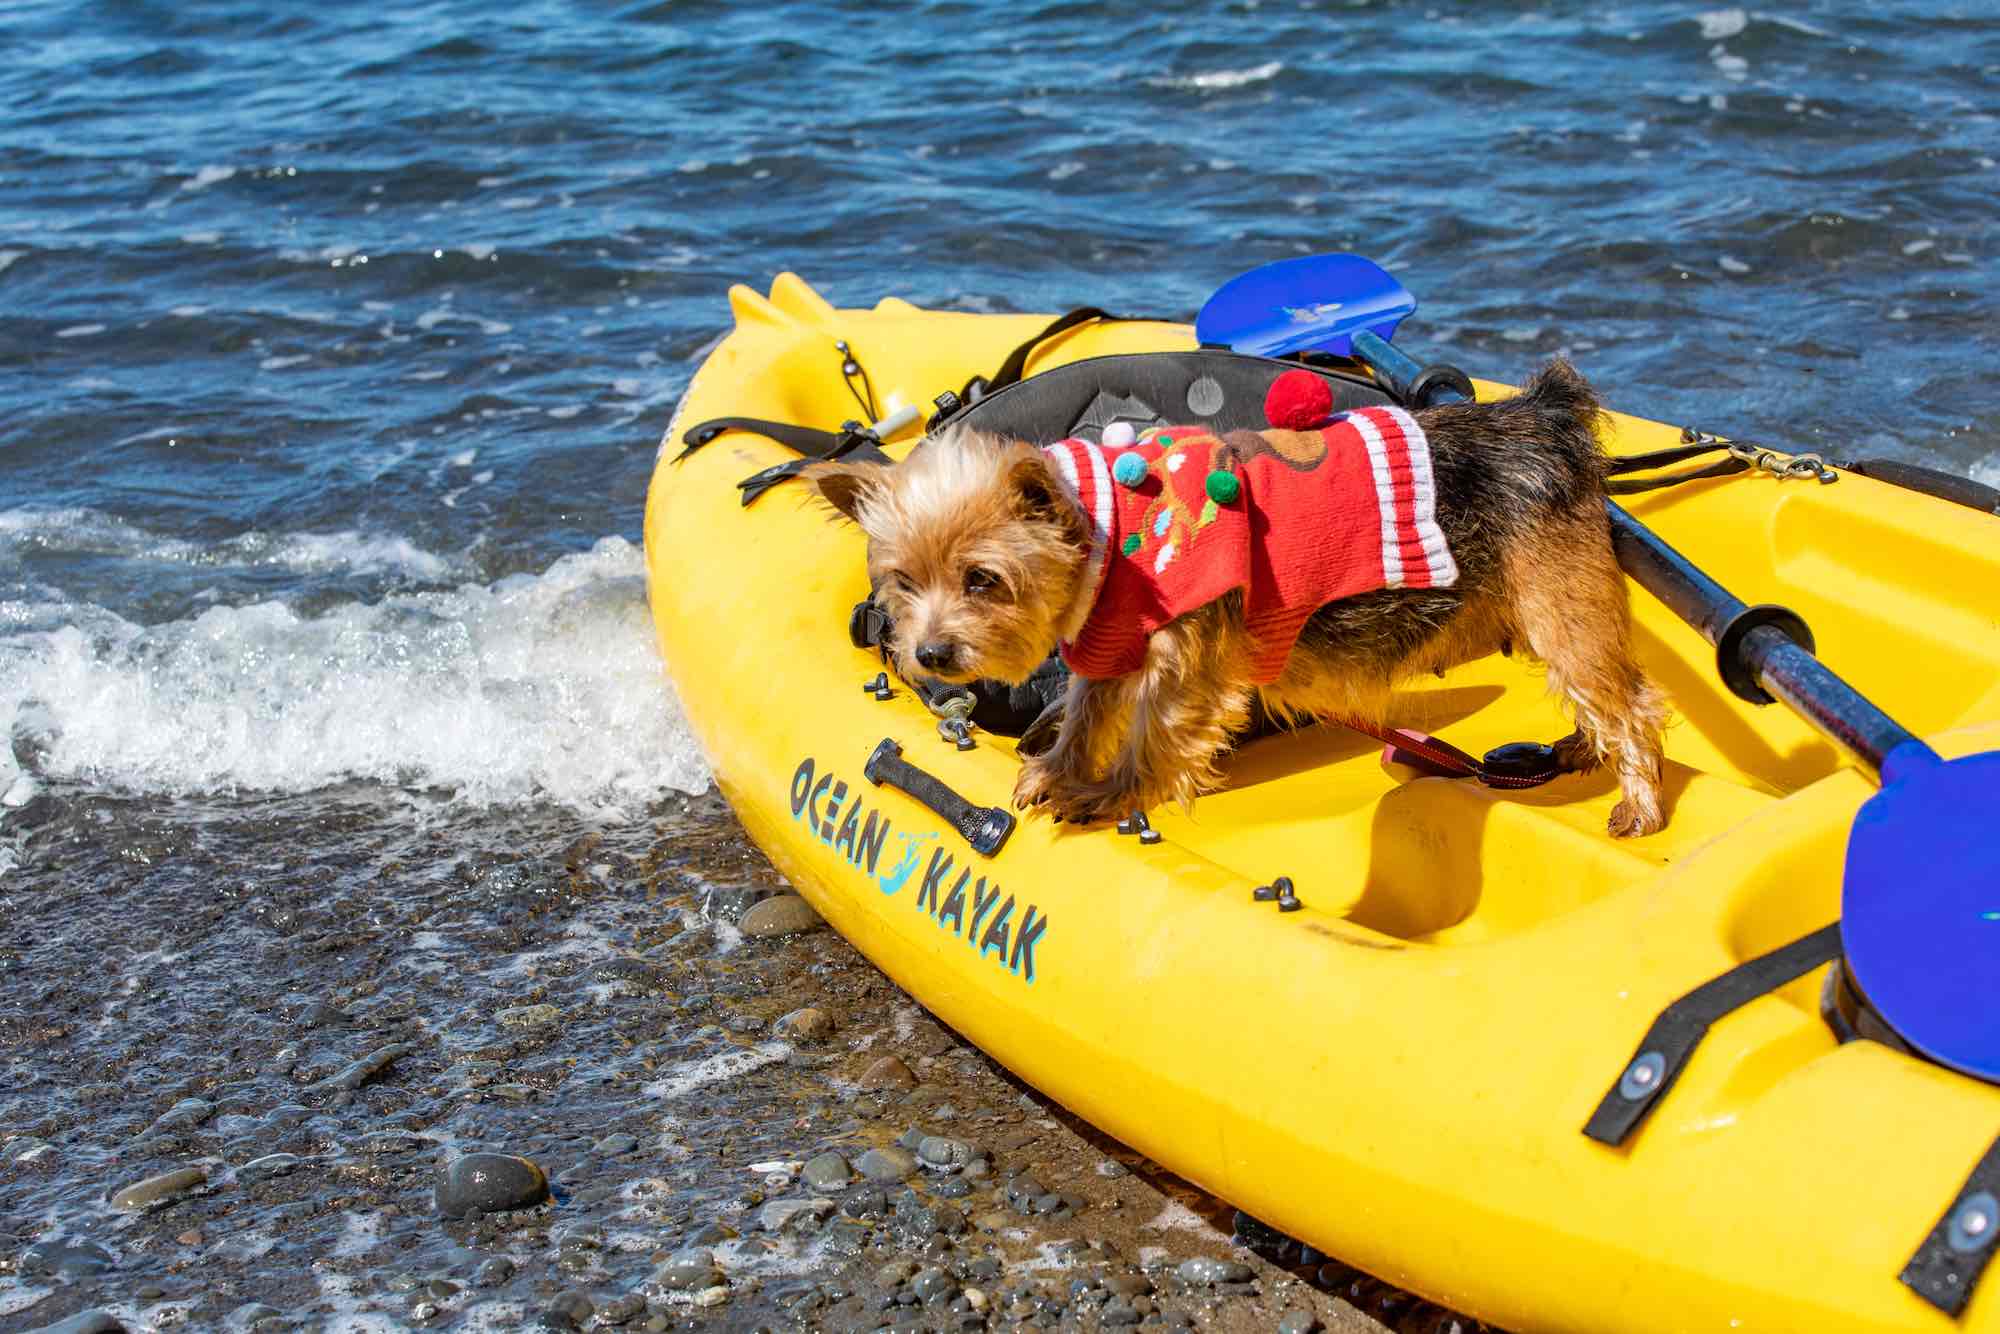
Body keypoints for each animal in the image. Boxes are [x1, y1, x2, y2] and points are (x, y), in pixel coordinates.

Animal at [804, 354, 1664, 836]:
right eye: (902, 581)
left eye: (982, 578)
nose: (929, 655)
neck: (1107, 534)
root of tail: (1543, 414)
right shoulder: (1109, 647)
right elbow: (1086, 714)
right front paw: (1058, 775)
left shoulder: (1188, 667)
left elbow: (1151, 733)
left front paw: (1110, 795)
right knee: (1602, 694)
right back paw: (1582, 752)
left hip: (1558, 604)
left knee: (1627, 701)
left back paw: (1641, 803)